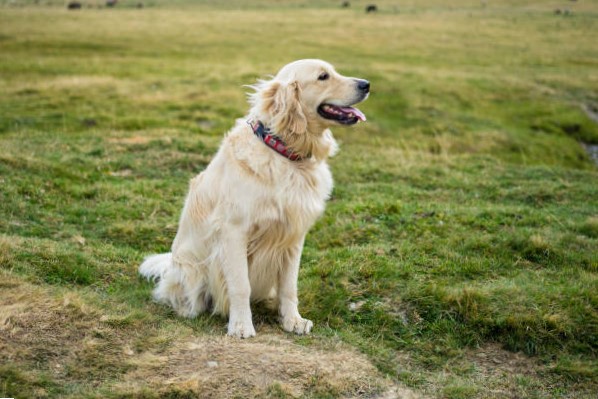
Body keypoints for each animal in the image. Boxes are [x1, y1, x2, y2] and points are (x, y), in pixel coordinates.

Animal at [141, 59, 370, 340]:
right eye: (323, 77)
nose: (366, 84)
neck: (285, 153)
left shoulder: (293, 236)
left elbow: (289, 287)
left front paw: (292, 320)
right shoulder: (234, 231)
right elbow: (241, 285)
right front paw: (240, 325)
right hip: (191, 270)